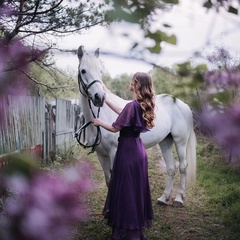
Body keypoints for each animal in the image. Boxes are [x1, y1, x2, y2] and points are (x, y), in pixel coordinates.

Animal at [76, 46, 196, 207]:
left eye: (100, 71)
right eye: (83, 71)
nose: (99, 97)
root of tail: (182, 103)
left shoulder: (114, 152)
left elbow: (114, 181)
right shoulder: (101, 155)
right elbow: (108, 181)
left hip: (180, 141)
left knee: (183, 166)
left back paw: (178, 199)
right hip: (165, 142)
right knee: (171, 168)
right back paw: (163, 198)